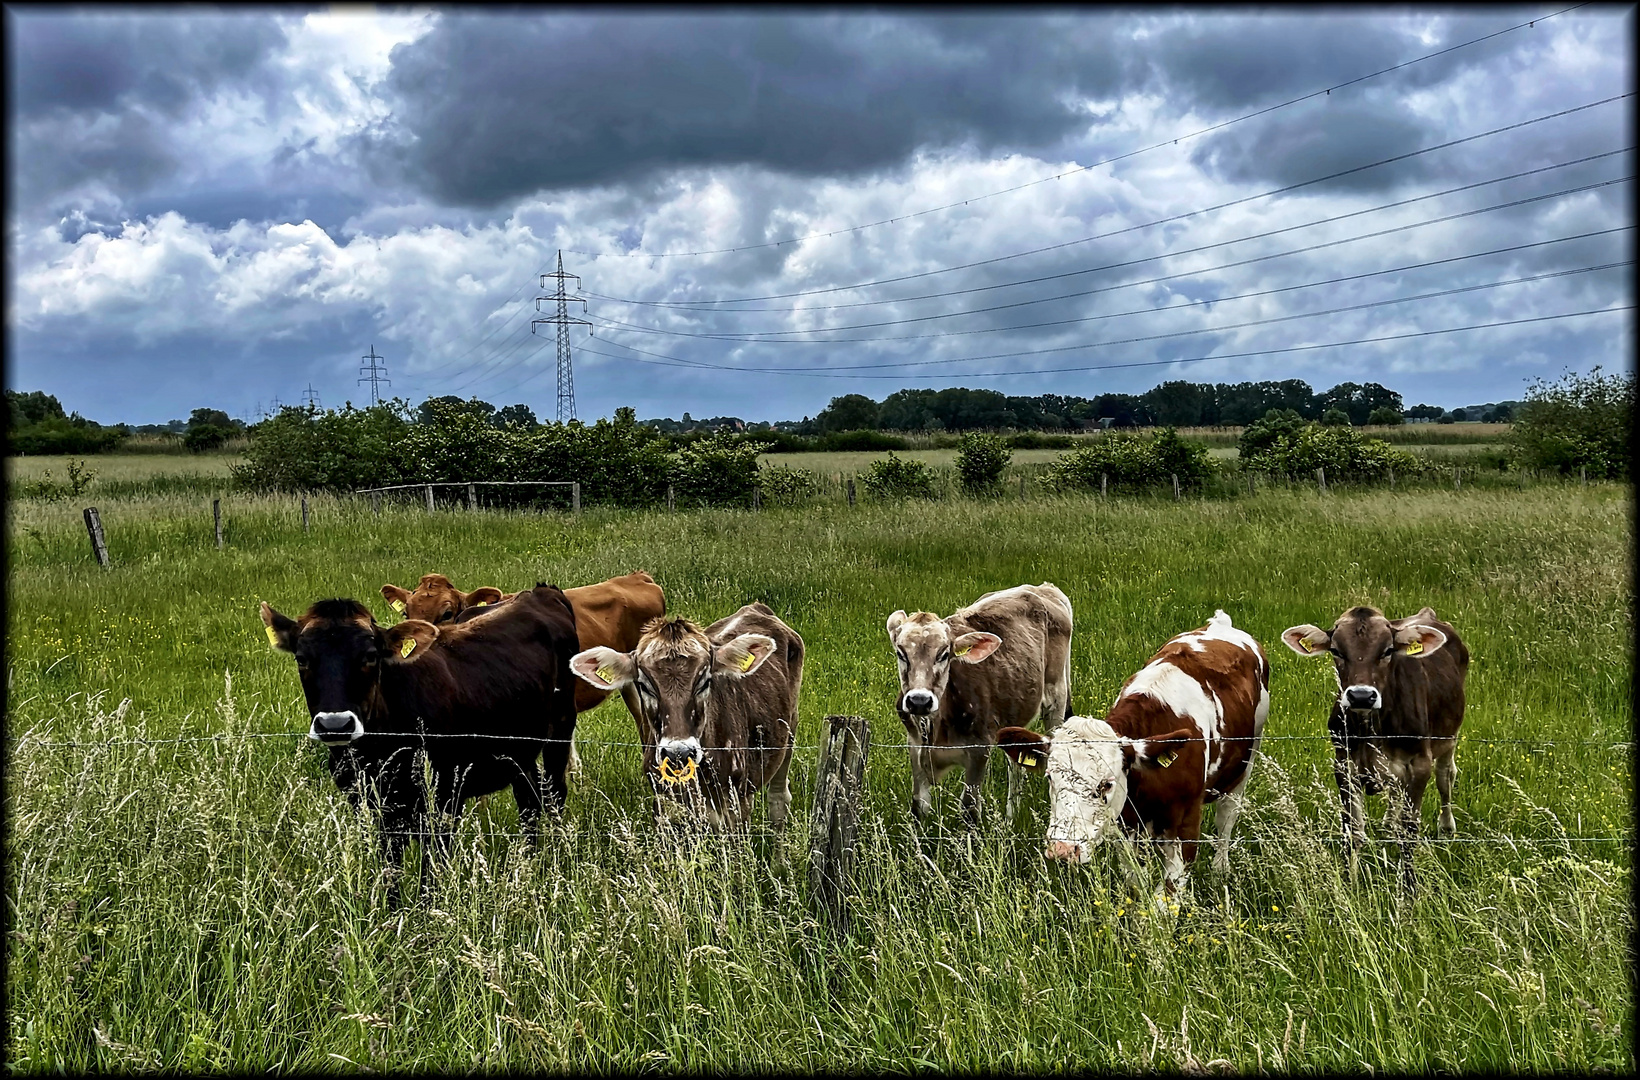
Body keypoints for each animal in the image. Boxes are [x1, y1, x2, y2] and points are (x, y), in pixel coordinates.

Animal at [259, 586, 580, 898]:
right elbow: (390, 870)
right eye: (301, 658)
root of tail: (540, 592)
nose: (335, 725)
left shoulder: (445, 799)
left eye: (370, 656)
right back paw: (529, 862)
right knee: (529, 799)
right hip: (519, 750)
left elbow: (431, 874)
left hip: (561, 728)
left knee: (554, 795)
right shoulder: (367, 804)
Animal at [567, 609, 803, 829]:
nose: (678, 753)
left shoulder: (734, 809)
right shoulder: (664, 810)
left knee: (779, 800)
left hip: (790, 729)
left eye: (705, 681)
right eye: (644, 685)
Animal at [885, 583, 1075, 829]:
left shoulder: (979, 750)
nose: (919, 700)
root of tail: (1042, 588)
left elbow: (970, 810)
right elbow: (919, 808)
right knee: (1016, 766)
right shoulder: (915, 747)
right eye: (901, 653)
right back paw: (1010, 819)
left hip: (1056, 698)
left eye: (944, 654)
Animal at [990, 609, 1272, 904]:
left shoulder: (1185, 833)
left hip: (1246, 763)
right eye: (1049, 778)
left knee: (1226, 818)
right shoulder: (1125, 831)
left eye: (1106, 784)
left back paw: (1220, 869)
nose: (1064, 849)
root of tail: (1221, 624)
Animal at [1272, 603, 1469, 891]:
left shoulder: (1419, 763)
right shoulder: (1344, 765)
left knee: (1446, 778)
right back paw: (1389, 822)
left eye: (1387, 650)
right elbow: (1353, 832)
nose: (1361, 696)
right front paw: (1350, 884)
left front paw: (1408, 889)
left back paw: (1446, 828)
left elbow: (1409, 832)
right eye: (1336, 650)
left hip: (1449, 737)